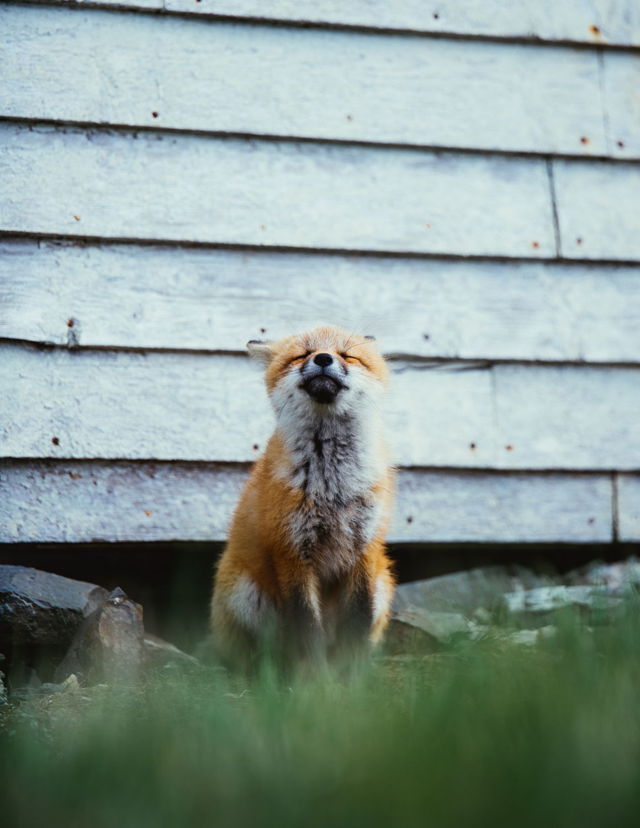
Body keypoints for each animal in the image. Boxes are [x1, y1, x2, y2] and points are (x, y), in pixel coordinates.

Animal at [210, 325, 395, 672]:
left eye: (347, 355)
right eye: (302, 355)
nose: (322, 358)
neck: (333, 488)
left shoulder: (364, 550)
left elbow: (356, 626)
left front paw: (354, 679)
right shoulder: (292, 551)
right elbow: (308, 630)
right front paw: (316, 683)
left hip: (383, 584)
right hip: (248, 598)